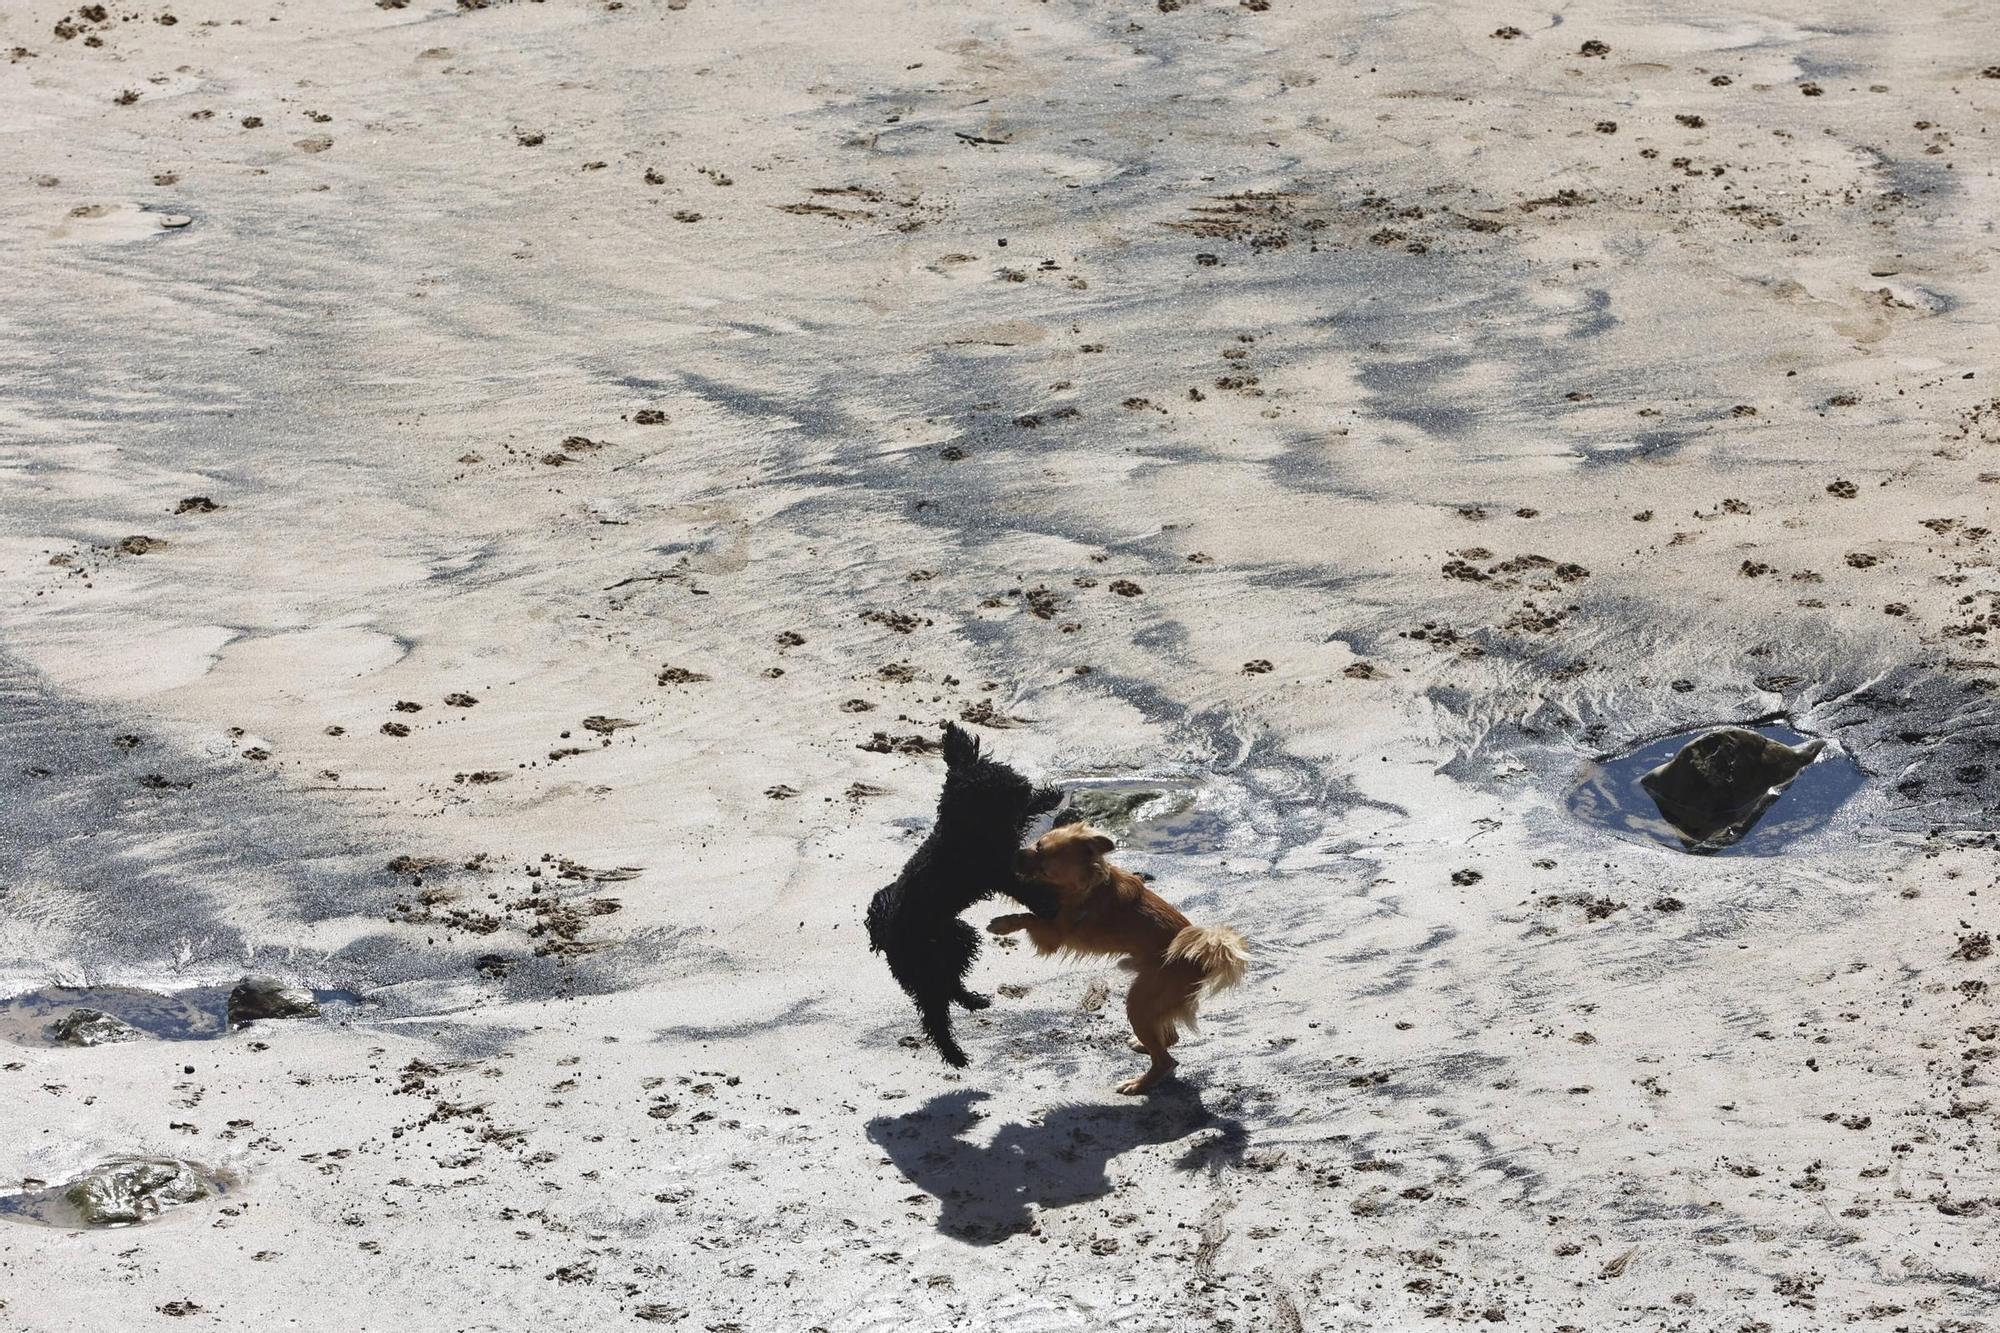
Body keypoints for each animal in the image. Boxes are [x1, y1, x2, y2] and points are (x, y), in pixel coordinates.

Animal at [868, 720, 1072, 1064]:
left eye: (1000, 772)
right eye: (994, 785)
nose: (1022, 785)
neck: (962, 827)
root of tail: (883, 933)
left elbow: (1022, 818)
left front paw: (1046, 797)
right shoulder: (1000, 870)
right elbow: (1027, 889)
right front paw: (1048, 905)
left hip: (957, 939)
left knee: (950, 982)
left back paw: (973, 1001)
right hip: (928, 963)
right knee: (934, 1013)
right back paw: (953, 1054)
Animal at [988, 820, 1248, 1088]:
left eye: (1044, 869)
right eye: (1038, 844)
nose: (1015, 854)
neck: (1087, 886)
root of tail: (1200, 958)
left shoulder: (1054, 934)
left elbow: (1029, 918)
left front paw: (1002, 924)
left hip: (1140, 1003)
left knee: (1165, 1061)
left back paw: (1137, 1085)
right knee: (1170, 1037)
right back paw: (1143, 1046)